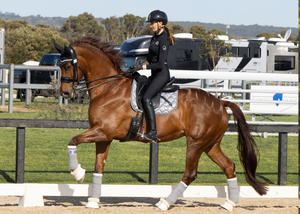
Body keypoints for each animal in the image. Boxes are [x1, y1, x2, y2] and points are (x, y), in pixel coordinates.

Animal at [54, 36, 268, 211]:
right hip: (211, 144)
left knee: (190, 173)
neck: (109, 88)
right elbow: (99, 167)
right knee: (229, 166)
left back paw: (165, 203)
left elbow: (72, 140)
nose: (65, 93)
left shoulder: (103, 132)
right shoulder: (103, 137)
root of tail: (220, 102)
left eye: (68, 66)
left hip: (196, 142)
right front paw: (93, 200)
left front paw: (77, 173)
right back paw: (229, 203)